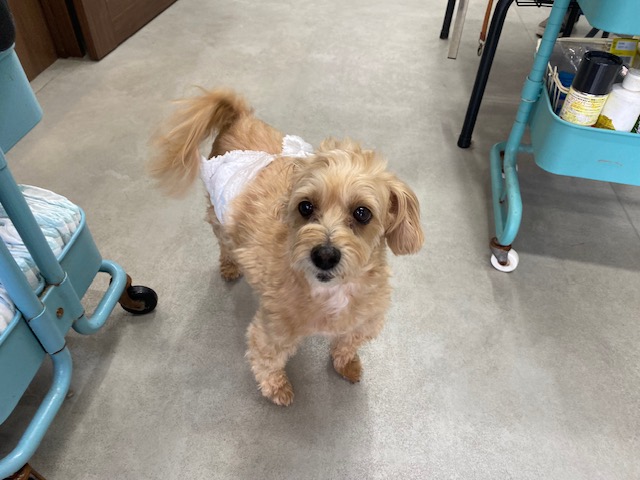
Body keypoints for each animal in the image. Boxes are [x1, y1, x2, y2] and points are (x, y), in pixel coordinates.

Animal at [149, 88, 424, 406]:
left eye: (362, 213)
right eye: (305, 207)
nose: (324, 255)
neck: (331, 292)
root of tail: (239, 117)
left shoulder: (363, 321)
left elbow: (347, 344)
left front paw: (347, 364)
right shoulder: (272, 331)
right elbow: (267, 361)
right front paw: (278, 389)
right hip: (219, 217)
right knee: (224, 245)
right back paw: (230, 266)